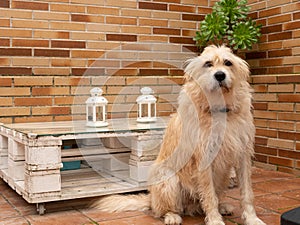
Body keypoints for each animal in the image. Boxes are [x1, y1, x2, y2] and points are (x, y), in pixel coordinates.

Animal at [90, 45, 266, 225]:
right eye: (208, 64)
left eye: (228, 63)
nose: (220, 75)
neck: (219, 108)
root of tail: (151, 199)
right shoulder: (204, 158)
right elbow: (209, 195)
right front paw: (215, 220)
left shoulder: (243, 154)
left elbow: (247, 193)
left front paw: (252, 218)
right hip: (168, 179)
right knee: (165, 209)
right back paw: (172, 216)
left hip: (223, 178)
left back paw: (222, 206)